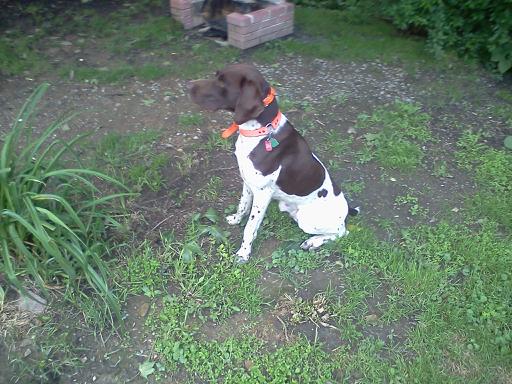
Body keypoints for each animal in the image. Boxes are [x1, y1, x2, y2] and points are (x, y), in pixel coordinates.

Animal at [189, 63, 360, 262]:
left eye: (223, 82)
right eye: (216, 75)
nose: (188, 85)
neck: (261, 132)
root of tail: (346, 209)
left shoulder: (263, 194)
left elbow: (250, 228)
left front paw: (243, 253)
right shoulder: (248, 183)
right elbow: (242, 205)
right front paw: (236, 220)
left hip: (308, 221)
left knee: (342, 233)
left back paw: (313, 242)